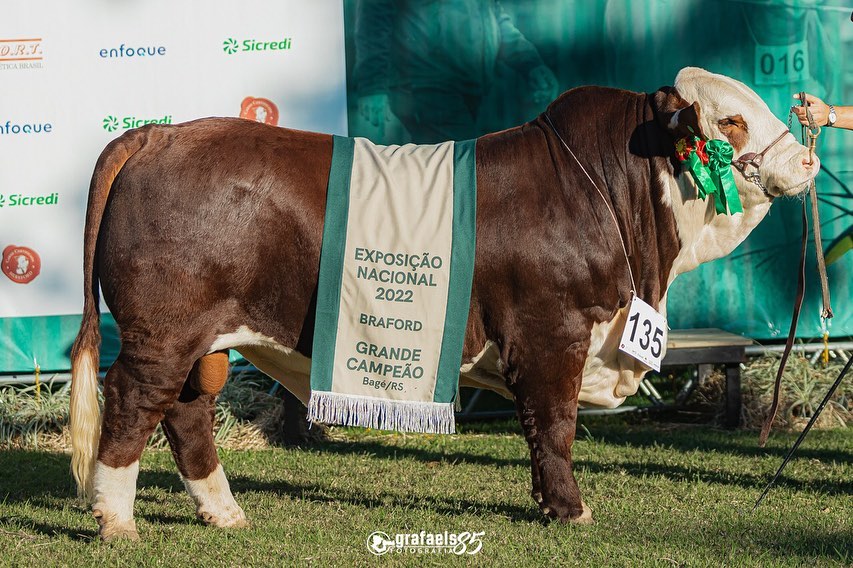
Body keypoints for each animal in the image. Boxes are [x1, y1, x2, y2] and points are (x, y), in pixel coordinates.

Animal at [70, 66, 816, 536]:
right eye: (731, 119)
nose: (808, 160)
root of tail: (163, 131)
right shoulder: (551, 331)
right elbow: (553, 424)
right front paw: (568, 509)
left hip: (210, 339)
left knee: (186, 411)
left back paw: (222, 512)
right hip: (163, 330)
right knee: (134, 398)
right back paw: (117, 519)